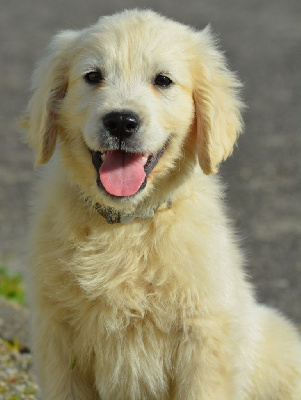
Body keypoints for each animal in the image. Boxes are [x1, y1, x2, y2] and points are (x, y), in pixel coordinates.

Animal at [23, 9, 300, 400]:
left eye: (163, 80)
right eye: (93, 76)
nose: (121, 121)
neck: (126, 225)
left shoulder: (203, 339)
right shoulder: (58, 336)